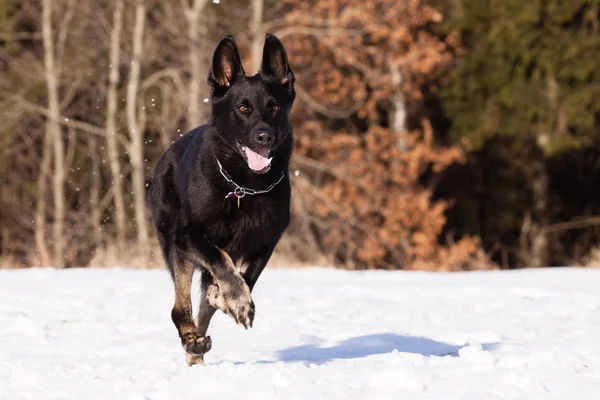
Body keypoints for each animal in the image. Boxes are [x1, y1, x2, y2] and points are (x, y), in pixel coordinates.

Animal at [149, 34, 296, 366]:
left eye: (274, 106)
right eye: (243, 107)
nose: (265, 136)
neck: (243, 186)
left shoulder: (265, 243)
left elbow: (243, 278)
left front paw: (226, 297)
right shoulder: (189, 235)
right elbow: (221, 260)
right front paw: (238, 301)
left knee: (202, 312)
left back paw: (198, 347)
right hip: (176, 247)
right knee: (180, 309)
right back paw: (192, 340)